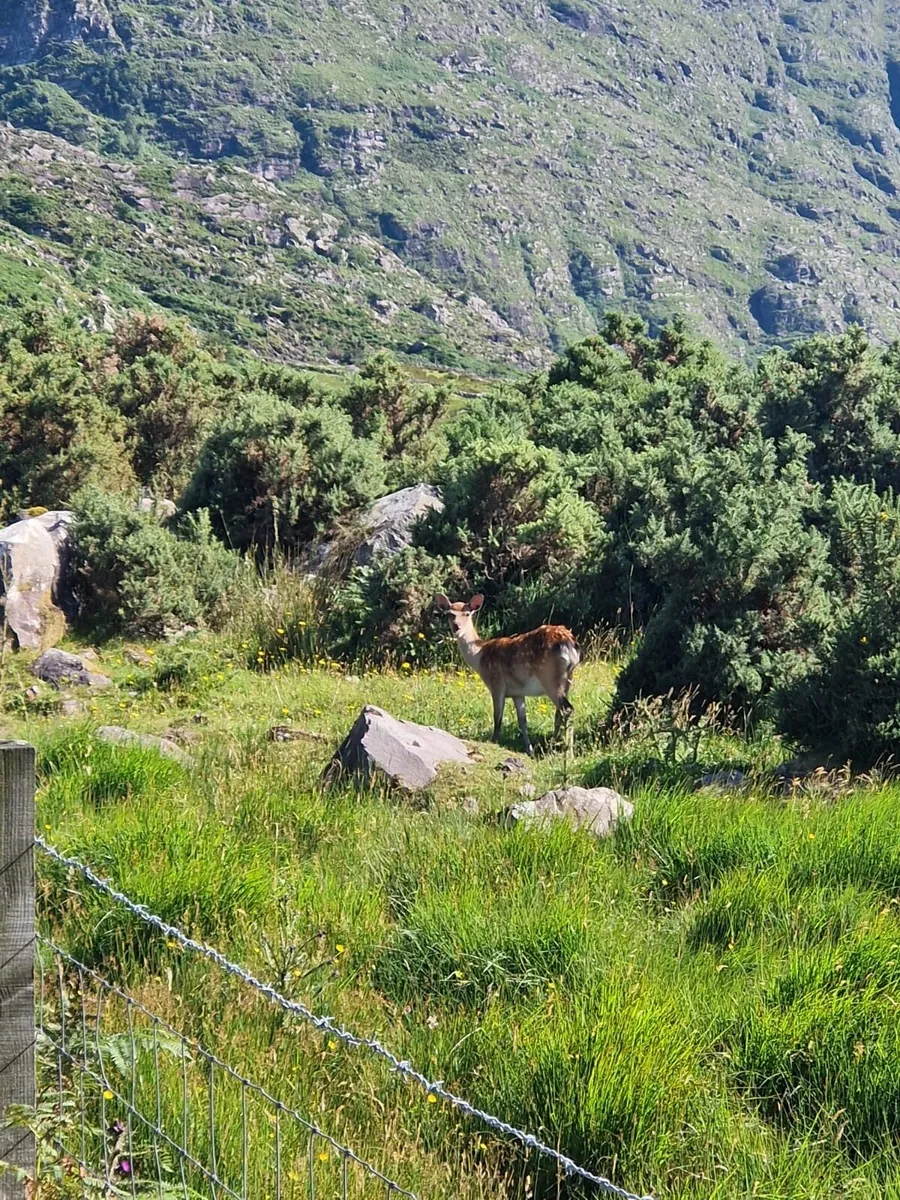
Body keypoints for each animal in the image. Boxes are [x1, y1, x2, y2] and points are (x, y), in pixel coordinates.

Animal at [435, 593, 580, 756]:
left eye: (467, 614)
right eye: (449, 614)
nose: (456, 627)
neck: (479, 656)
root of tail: (569, 643)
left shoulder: (496, 683)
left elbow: (497, 717)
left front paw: (494, 741)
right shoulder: (518, 693)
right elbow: (522, 721)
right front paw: (529, 750)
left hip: (549, 676)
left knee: (567, 710)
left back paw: (568, 753)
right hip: (567, 679)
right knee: (559, 713)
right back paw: (552, 747)